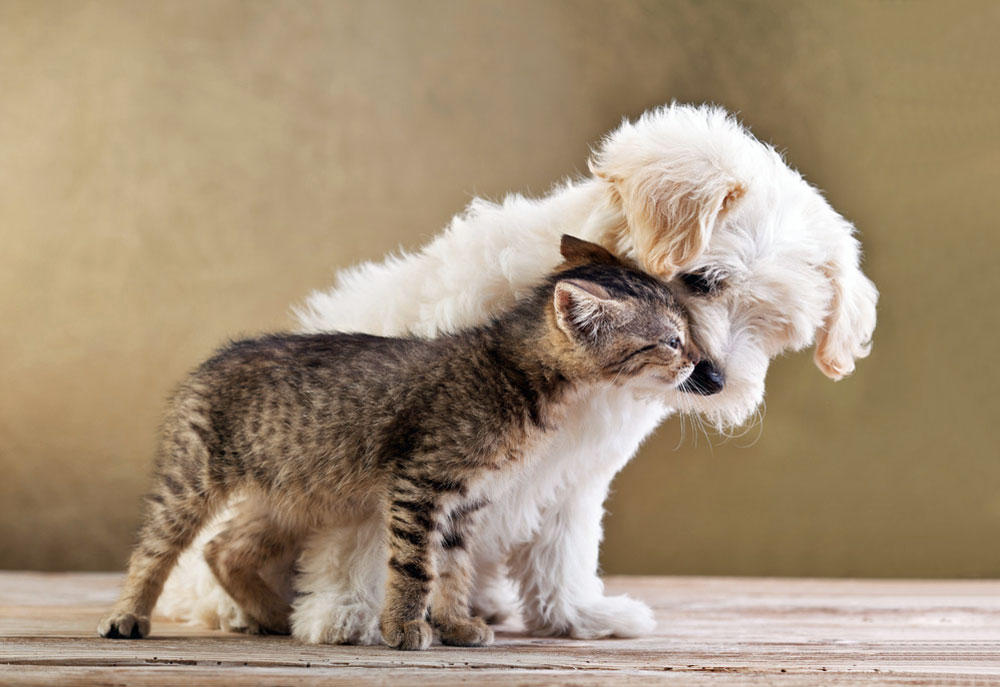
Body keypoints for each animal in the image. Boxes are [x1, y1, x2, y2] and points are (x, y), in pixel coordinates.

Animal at [97, 236, 700, 652]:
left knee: (224, 548)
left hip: (294, 495)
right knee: (155, 548)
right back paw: (128, 616)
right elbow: (415, 566)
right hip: (192, 478)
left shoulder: (467, 501)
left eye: (686, 334)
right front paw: (405, 626)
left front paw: (455, 623)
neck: (516, 374)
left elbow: (453, 569)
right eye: (671, 340)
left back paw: (272, 616)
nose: (699, 363)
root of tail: (215, 356)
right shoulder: (420, 483)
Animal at [156, 103, 876, 644]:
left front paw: (577, 614)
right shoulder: (397, 442)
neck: (574, 368)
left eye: (774, 328)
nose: (717, 379)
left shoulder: (575, 472)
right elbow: (367, 535)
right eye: (702, 280)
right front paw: (347, 612)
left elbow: (563, 545)